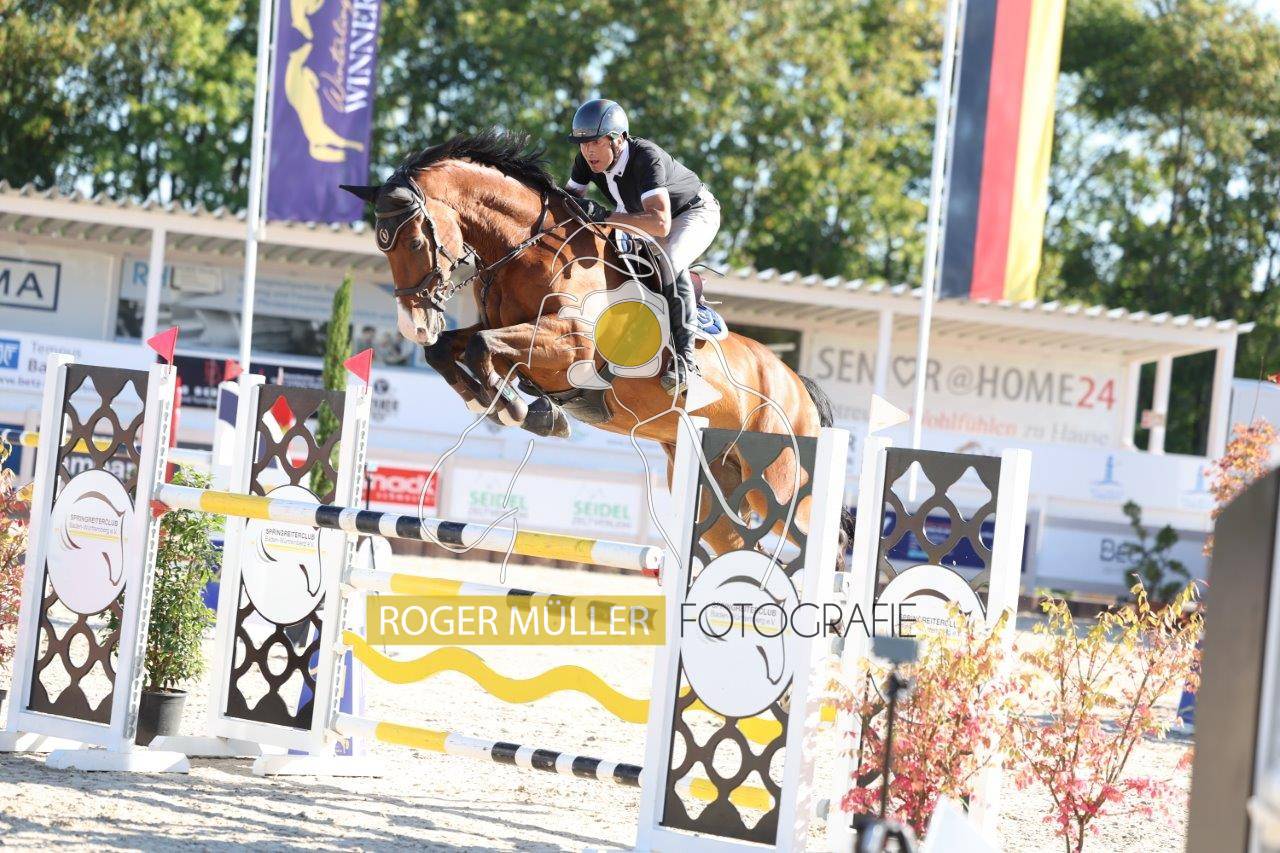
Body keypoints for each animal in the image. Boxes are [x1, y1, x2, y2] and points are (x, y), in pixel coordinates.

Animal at [342, 130, 853, 561]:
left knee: (826, 540)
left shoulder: (571, 345)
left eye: (413, 241)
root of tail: (797, 385)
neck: (531, 250)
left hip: (782, 483)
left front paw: (521, 410)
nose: (412, 325)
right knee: (732, 545)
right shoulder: (505, 330)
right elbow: (453, 349)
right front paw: (503, 406)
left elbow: (481, 347)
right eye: (382, 246)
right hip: (716, 483)